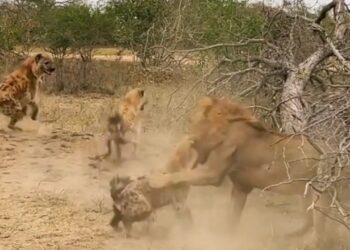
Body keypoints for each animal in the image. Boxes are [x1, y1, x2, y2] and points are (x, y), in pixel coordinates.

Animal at [149, 96, 330, 244]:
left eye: (194, 124)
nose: (191, 140)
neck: (223, 128)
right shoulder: (241, 187)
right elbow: (231, 218)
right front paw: (226, 238)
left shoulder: (213, 174)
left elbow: (181, 175)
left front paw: (155, 179)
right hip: (305, 195)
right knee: (308, 223)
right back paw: (282, 237)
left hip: (320, 193)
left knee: (318, 230)